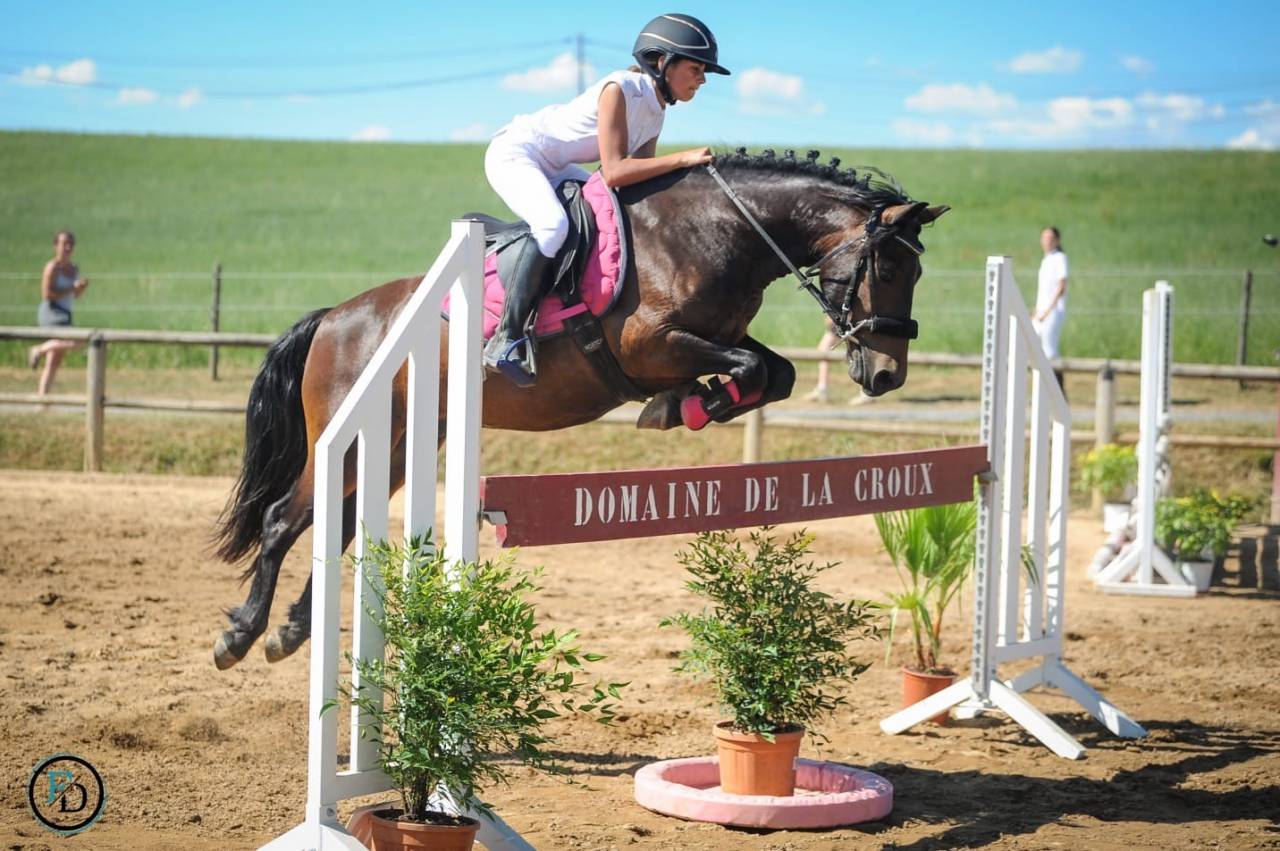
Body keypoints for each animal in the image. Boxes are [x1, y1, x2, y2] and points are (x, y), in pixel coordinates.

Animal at [211, 148, 948, 669]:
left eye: (916, 273)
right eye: (888, 269)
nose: (886, 374)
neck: (717, 229)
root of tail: (336, 317)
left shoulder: (717, 336)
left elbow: (775, 371)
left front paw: (689, 405)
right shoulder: (651, 343)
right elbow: (749, 367)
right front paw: (678, 406)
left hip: (390, 446)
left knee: (337, 524)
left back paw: (290, 630)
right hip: (345, 436)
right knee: (282, 520)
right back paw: (243, 634)